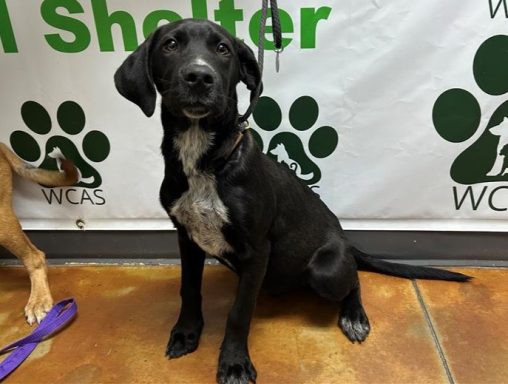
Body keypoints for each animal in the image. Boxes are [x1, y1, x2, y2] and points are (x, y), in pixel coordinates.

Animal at [114, 19, 468, 384]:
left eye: (223, 49)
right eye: (170, 45)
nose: (199, 76)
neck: (205, 161)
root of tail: (346, 243)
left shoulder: (257, 250)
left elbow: (239, 313)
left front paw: (234, 362)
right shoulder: (187, 237)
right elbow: (189, 290)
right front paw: (186, 333)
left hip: (325, 271)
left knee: (354, 279)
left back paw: (354, 315)